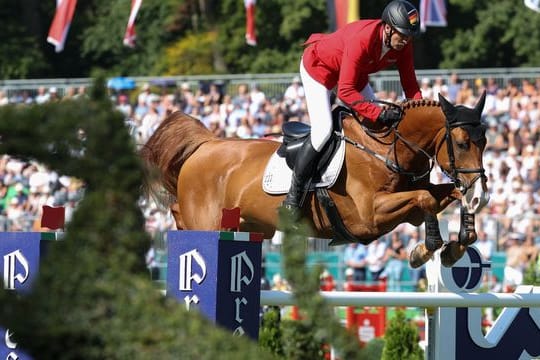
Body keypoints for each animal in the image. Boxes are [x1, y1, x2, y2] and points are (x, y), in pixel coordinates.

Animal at [139, 93, 490, 268]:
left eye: (485, 141)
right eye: (462, 144)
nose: (482, 195)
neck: (384, 148)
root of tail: (206, 144)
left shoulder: (408, 206)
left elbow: (446, 194)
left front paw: (460, 241)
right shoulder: (370, 217)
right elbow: (426, 198)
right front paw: (424, 250)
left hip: (246, 223)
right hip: (207, 216)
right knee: (183, 216)